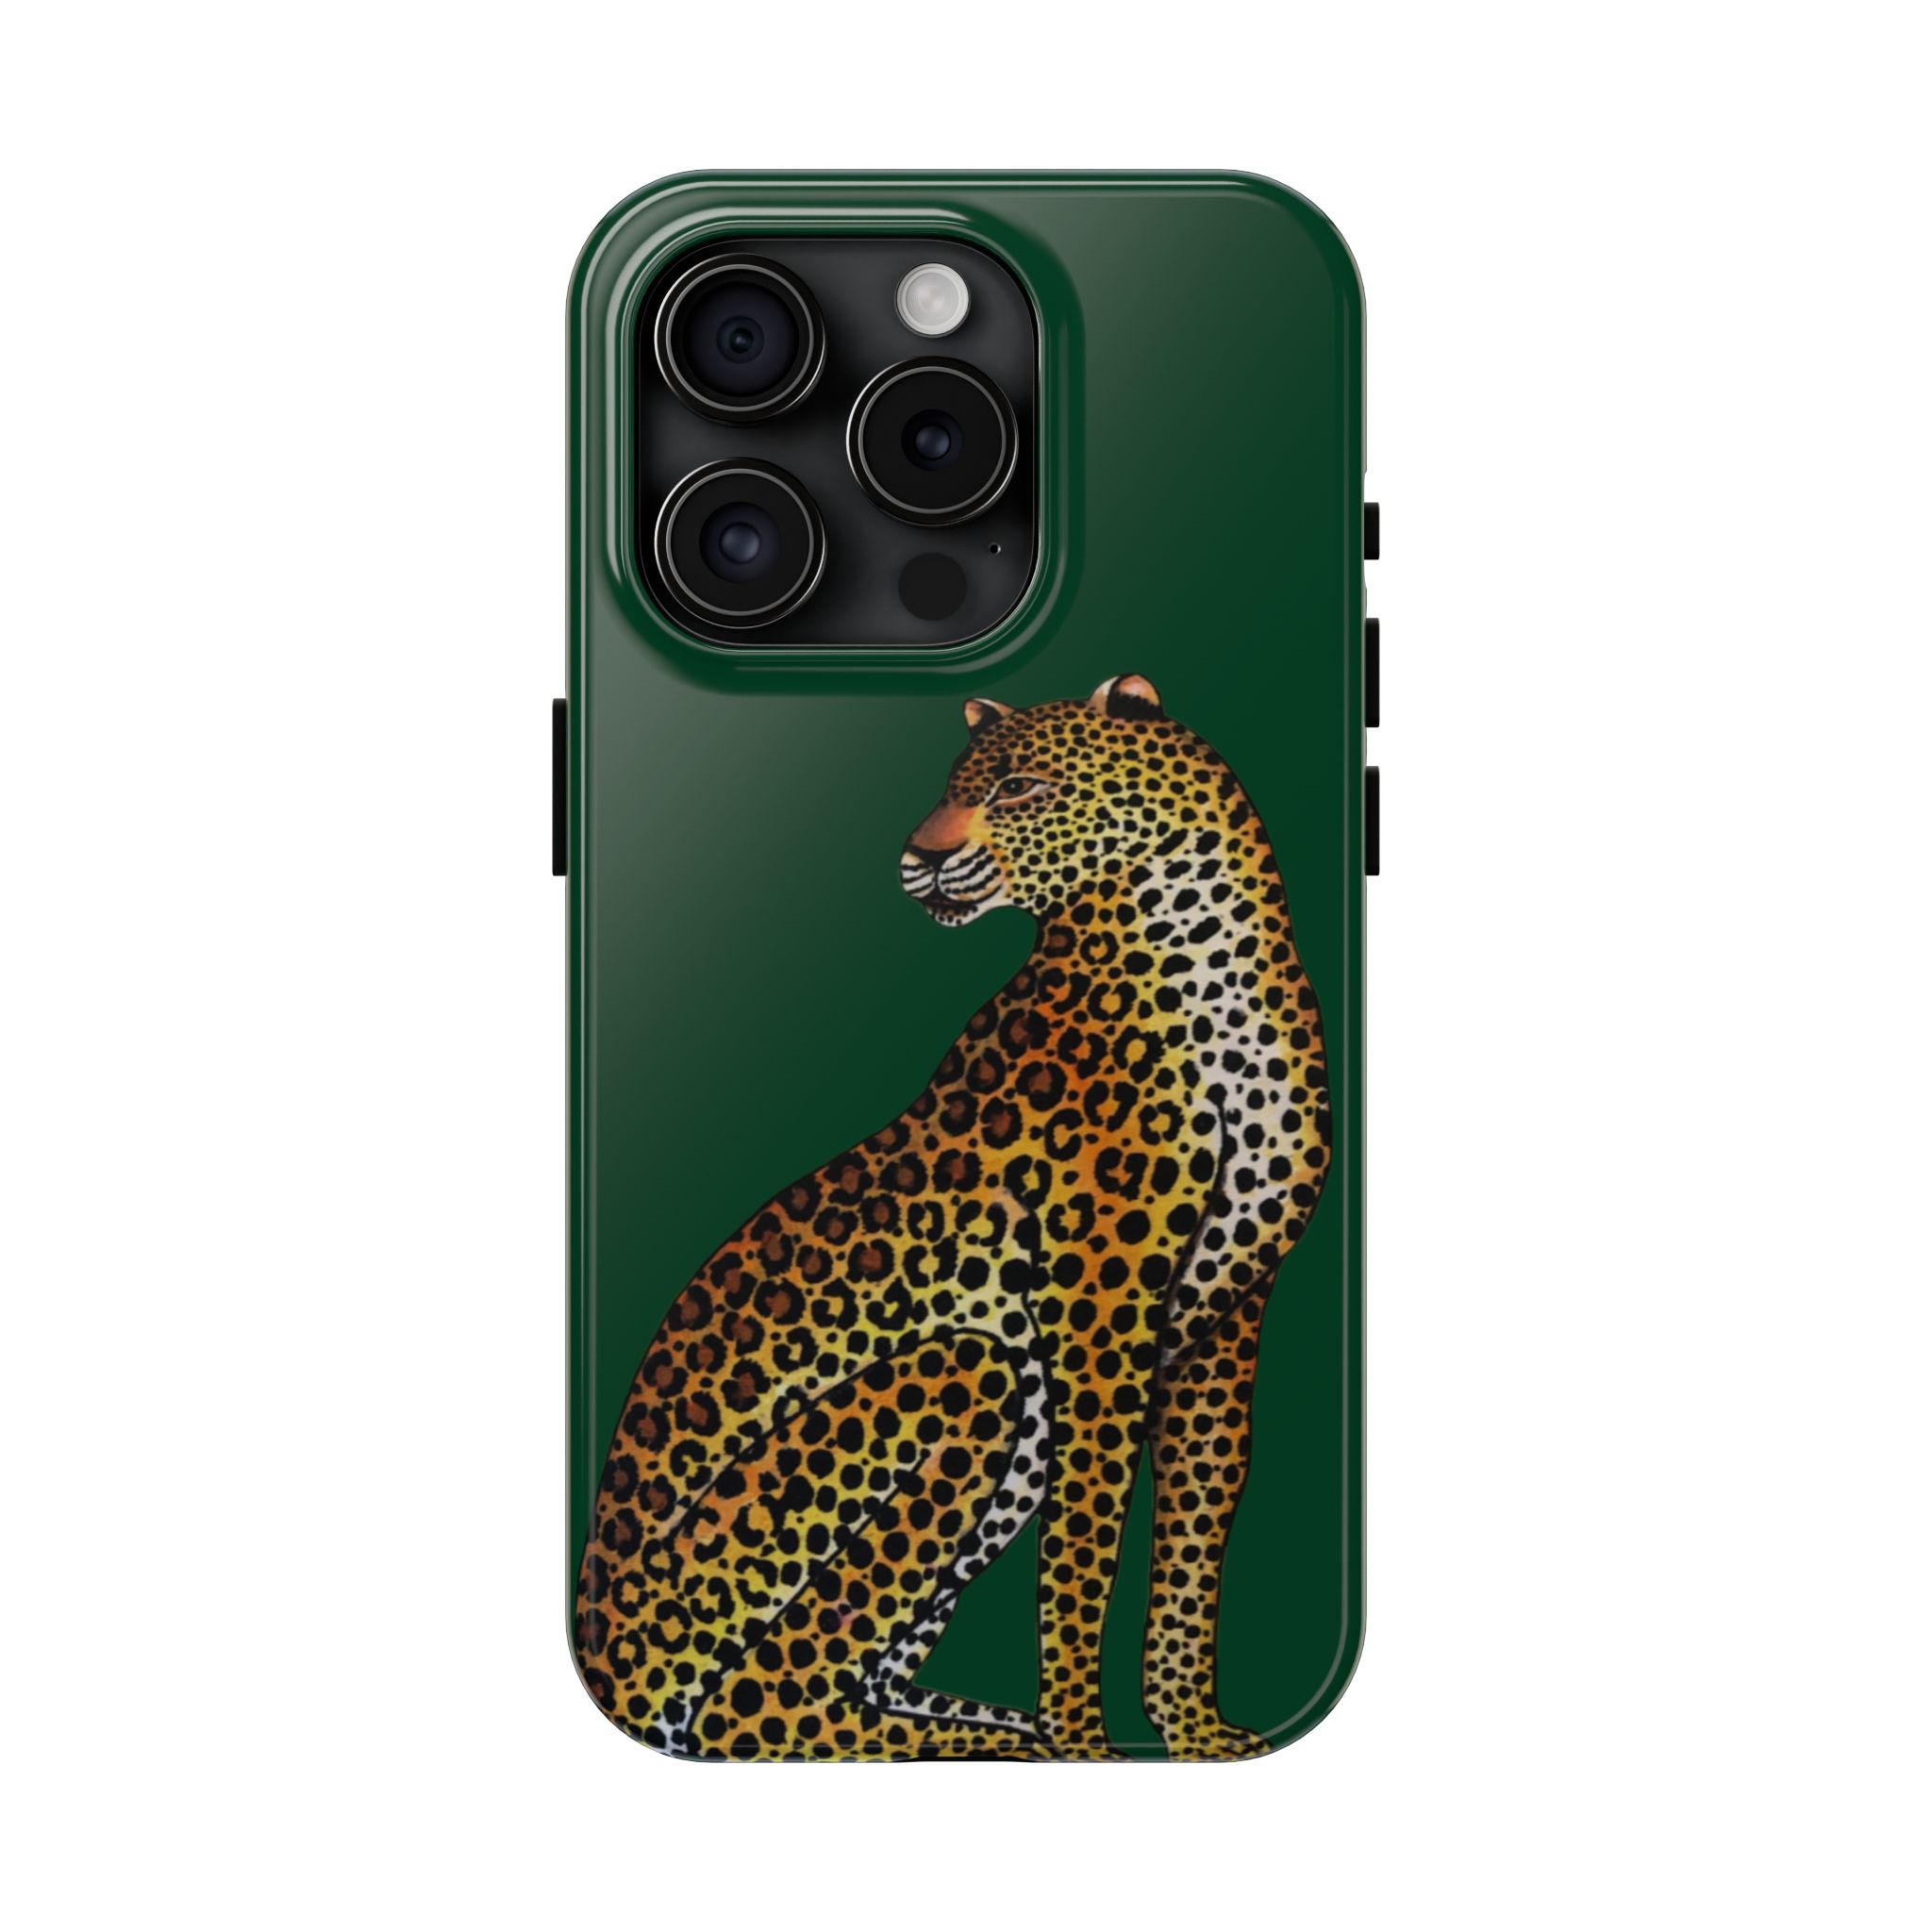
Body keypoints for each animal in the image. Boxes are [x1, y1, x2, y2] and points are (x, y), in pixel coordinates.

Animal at [574, 672, 1330, 1761]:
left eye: (1018, 786)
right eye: (951, 788)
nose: (918, 856)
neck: (1209, 953)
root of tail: (593, 1635)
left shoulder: (1226, 1320)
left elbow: (1193, 1533)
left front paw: (1192, 1733)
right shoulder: (1099, 1321)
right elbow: (1084, 1546)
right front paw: (1088, 1744)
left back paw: (994, 1731)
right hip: (967, 1380)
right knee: (764, 1702)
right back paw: (1007, 1741)